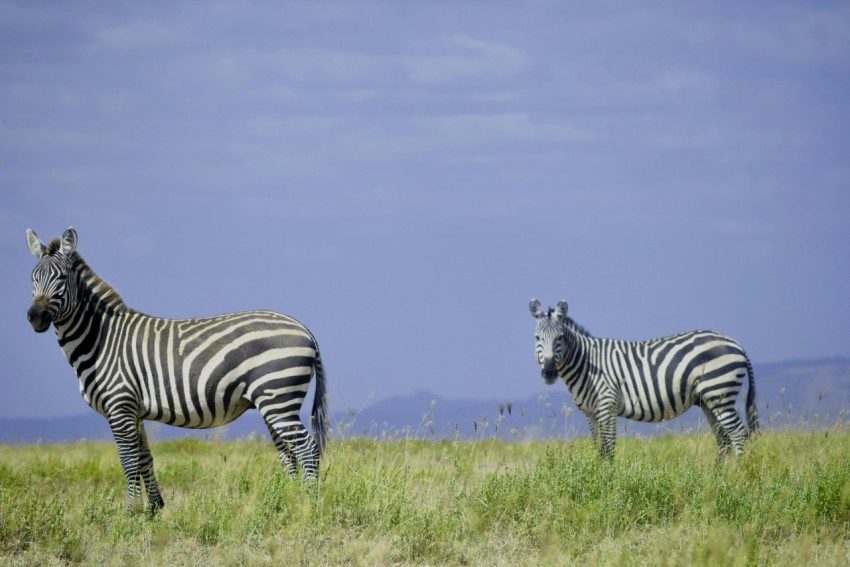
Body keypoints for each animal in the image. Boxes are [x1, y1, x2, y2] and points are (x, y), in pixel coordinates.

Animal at [24, 227, 330, 516]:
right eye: (33, 278)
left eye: (62, 278)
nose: (36, 317)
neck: (101, 339)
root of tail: (305, 329)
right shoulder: (134, 411)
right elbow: (144, 458)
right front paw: (153, 509)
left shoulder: (120, 406)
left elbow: (128, 460)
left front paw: (130, 513)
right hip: (273, 403)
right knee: (289, 454)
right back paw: (286, 502)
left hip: (278, 397)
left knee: (308, 448)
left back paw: (308, 504)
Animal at [528, 300, 760, 460]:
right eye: (537, 338)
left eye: (560, 338)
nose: (549, 373)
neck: (587, 363)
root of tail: (737, 344)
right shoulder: (590, 413)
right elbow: (599, 448)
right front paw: (597, 478)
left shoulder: (607, 406)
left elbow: (608, 449)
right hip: (709, 401)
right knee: (724, 440)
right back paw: (717, 479)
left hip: (720, 393)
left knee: (739, 434)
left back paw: (737, 478)